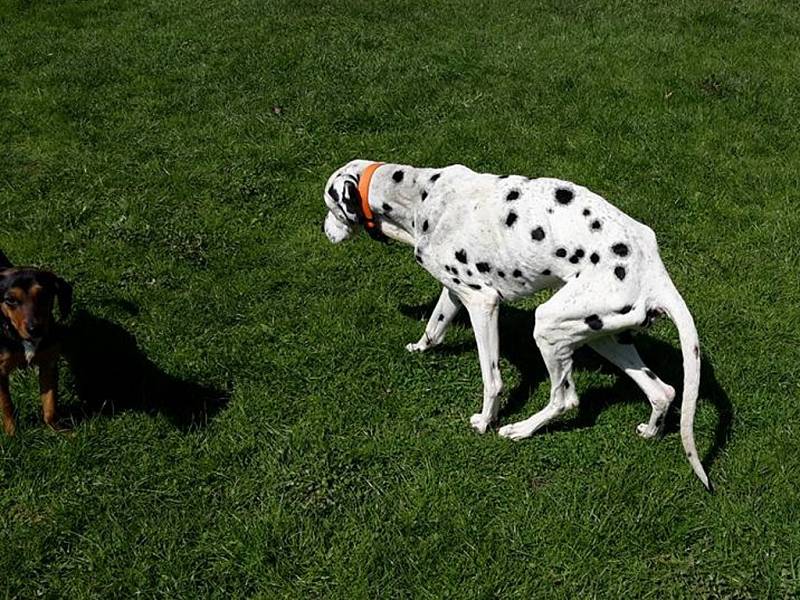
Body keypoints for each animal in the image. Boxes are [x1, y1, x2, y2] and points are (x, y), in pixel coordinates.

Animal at [0, 255, 72, 434]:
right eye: (10, 300)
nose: (35, 329)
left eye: (44, 295)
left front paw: (61, 431)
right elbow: (6, 405)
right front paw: (12, 435)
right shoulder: (0, 372)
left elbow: (50, 406)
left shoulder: (48, 364)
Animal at [322, 159, 708, 488]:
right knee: (663, 391)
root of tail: (655, 271)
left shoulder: (482, 303)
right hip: (601, 336)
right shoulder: (455, 291)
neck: (421, 194)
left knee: (566, 398)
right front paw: (419, 348)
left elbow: (492, 380)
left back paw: (520, 430)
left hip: (548, 327)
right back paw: (651, 431)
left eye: (329, 206)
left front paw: (485, 421)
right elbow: (433, 328)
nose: (324, 233)